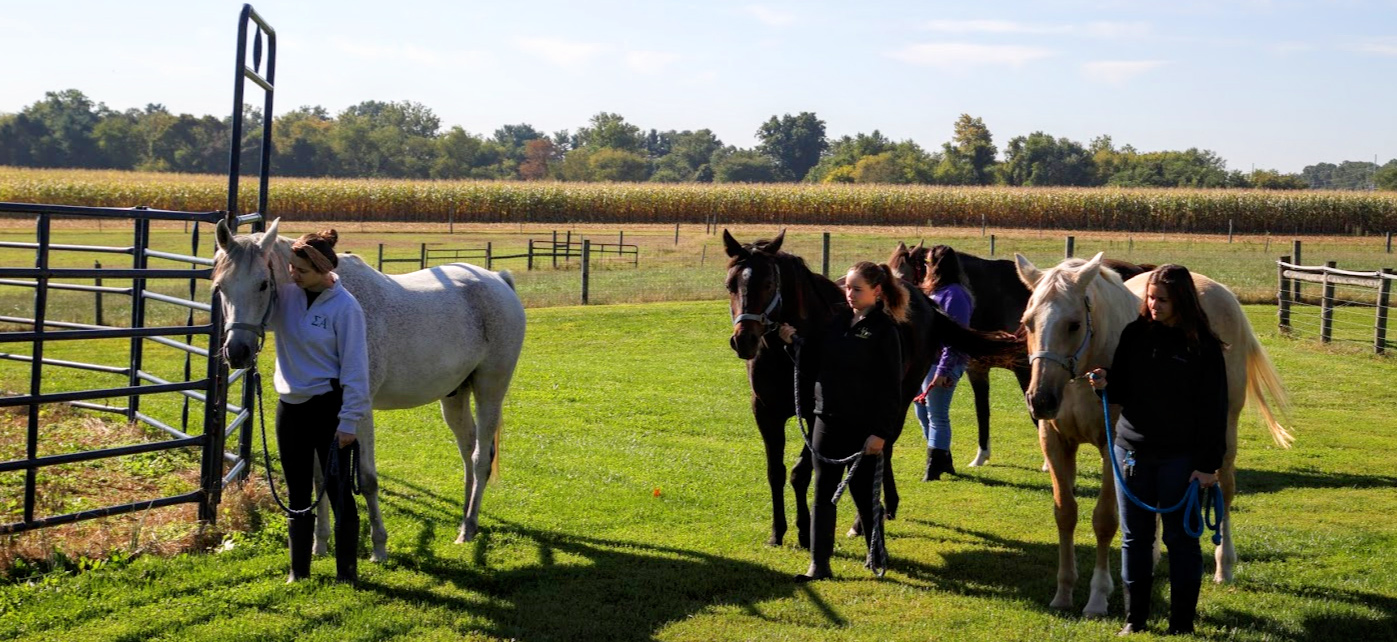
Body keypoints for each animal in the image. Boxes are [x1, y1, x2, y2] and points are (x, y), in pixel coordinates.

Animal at [212, 217, 525, 558]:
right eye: (221, 286)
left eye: (263, 284)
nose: (237, 352)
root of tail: (498, 279)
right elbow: (321, 478)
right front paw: (319, 543)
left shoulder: (358, 414)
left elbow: (366, 479)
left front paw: (378, 546)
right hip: (454, 397)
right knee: (469, 451)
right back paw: (468, 519)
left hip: (490, 391)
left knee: (481, 458)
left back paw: (467, 529)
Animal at [726, 230, 1022, 547]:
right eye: (730, 284)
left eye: (769, 283)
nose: (744, 340)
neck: (787, 351)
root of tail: (924, 301)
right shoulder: (765, 413)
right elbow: (776, 472)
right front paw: (777, 532)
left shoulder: (817, 413)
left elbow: (800, 472)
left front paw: (805, 531)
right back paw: (885, 507)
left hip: (900, 398)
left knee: (882, 449)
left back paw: (867, 517)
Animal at [888, 242, 1151, 468]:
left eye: (902, 275)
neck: (994, 299)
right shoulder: (978, 369)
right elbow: (982, 410)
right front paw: (981, 456)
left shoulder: (1027, 370)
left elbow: (1037, 413)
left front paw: (1047, 462)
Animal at [1011, 252, 1290, 616]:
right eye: (1028, 322)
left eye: (1073, 324)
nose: (1041, 400)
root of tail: (1220, 292)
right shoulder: (1056, 445)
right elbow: (1065, 514)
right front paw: (1063, 593)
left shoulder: (1111, 449)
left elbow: (1104, 520)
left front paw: (1097, 598)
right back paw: (1154, 556)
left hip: (1224, 434)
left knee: (1225, 491)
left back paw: (1224, 565)